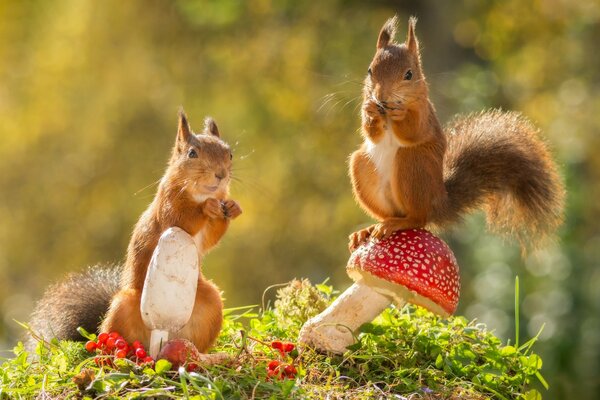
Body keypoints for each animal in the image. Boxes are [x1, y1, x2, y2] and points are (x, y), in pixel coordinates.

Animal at [27, 111, 240, 352]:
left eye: (230, 154)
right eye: (192, 153)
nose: (221, 174)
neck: (201, 193)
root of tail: (159, 337)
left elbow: (212, 237)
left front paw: (232, 208)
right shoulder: (167, 206)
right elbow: (183, 219)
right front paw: (207, 207)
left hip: (209, 303)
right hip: (124, 306)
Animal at [350, 17, 564, 252]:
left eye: (409, 74)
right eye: (370, 70)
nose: (381, 97)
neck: (387, 112)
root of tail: (438, 203)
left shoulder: (425, 114)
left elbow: (413, 131)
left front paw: (401, 113)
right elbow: (372, 134)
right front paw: (369, 110)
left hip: (412, 164)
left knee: (418, 218)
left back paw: (398, 223)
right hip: (362, 166)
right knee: (390, 214)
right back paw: (369, 229)